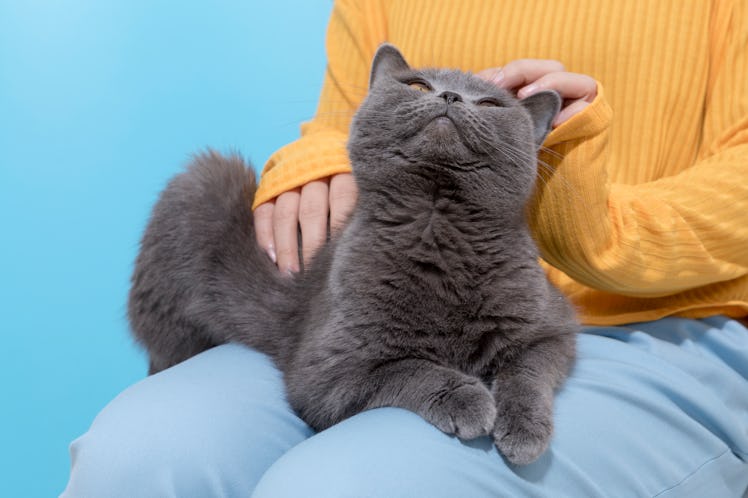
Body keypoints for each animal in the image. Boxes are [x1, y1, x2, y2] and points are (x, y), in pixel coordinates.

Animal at [129, 43, 580, 466]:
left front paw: (524, 429)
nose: (451, 96)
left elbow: (527, 371)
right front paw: (468, 400)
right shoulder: (327, 372)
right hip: (200, 185)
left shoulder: (550, 326)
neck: (436, 220)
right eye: (418, 86)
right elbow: (408, 368)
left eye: (490, 105)